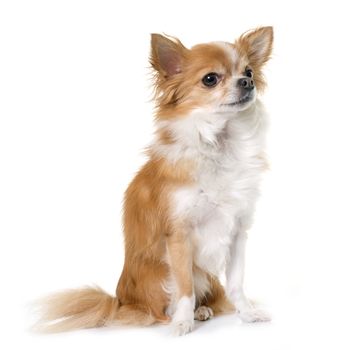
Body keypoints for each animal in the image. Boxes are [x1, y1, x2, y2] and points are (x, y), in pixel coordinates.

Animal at [37, 26, 274, 334]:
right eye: (210, 79)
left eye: (248, 71)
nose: (247, 81)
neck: (220, 145)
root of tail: (120, 301)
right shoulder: (179, 236)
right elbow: (185, 287)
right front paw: (182, 322)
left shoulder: (236, 233)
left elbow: (236, 284)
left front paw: (247, 314)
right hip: (158, 276)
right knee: (156, 311)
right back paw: (179, 316)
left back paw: (203, 310)